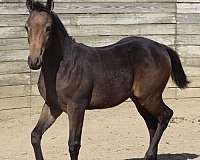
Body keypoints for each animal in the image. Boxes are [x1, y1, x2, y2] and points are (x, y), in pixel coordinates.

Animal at [24, 0, 188, 159]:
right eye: (26, 27)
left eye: (48, 28)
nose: (34, 61)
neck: (63, 66)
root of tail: (161, 47)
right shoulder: (52, 106)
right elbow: (35, 135)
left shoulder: (77, 107)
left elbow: (73, 145)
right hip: (139, 101)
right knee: (152, 124)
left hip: (150, 97)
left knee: (165, 115)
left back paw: (148, 154)